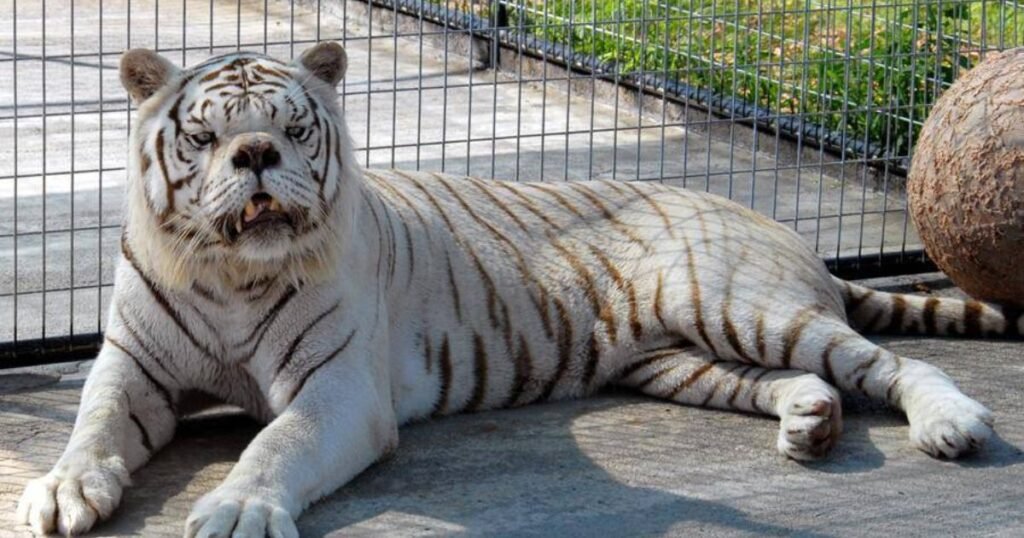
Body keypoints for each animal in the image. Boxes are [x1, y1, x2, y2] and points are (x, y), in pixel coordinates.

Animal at [15, 41, 1024, 537]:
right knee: (808, 381)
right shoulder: (133, 367)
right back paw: (809, 425)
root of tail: (786, 231)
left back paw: (952, 424)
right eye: (206, 136)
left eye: (294, 129)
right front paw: (60, 492)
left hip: (741, 305)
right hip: (679, 359)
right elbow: (90, 427)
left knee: (886, 364)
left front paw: (237, 509)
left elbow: (276, 444)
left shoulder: (337, 389)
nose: (257, 155)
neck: (229, 272)